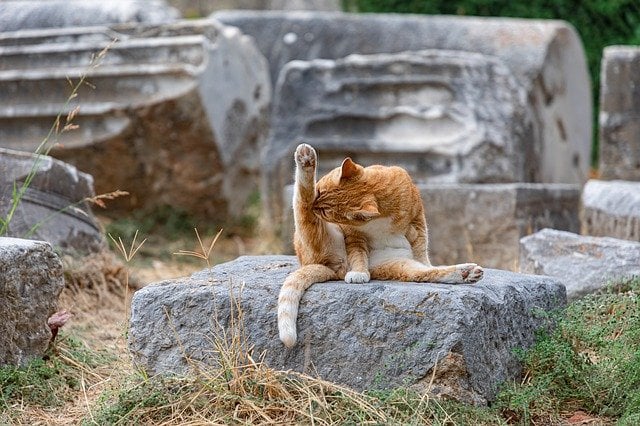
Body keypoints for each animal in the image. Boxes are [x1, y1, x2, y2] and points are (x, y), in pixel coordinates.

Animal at [278, 145, 482, 348]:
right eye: (318, 191)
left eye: (325, 211)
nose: (315, 205)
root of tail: (334, 269)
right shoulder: (354, 235)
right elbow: (358, 254)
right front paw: (359, 273)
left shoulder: (418, 221)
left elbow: (421, 247)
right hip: (317, 234)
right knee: (302, 203)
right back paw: (306, 159)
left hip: (399, 265)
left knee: (426, 272)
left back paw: (466, 273)